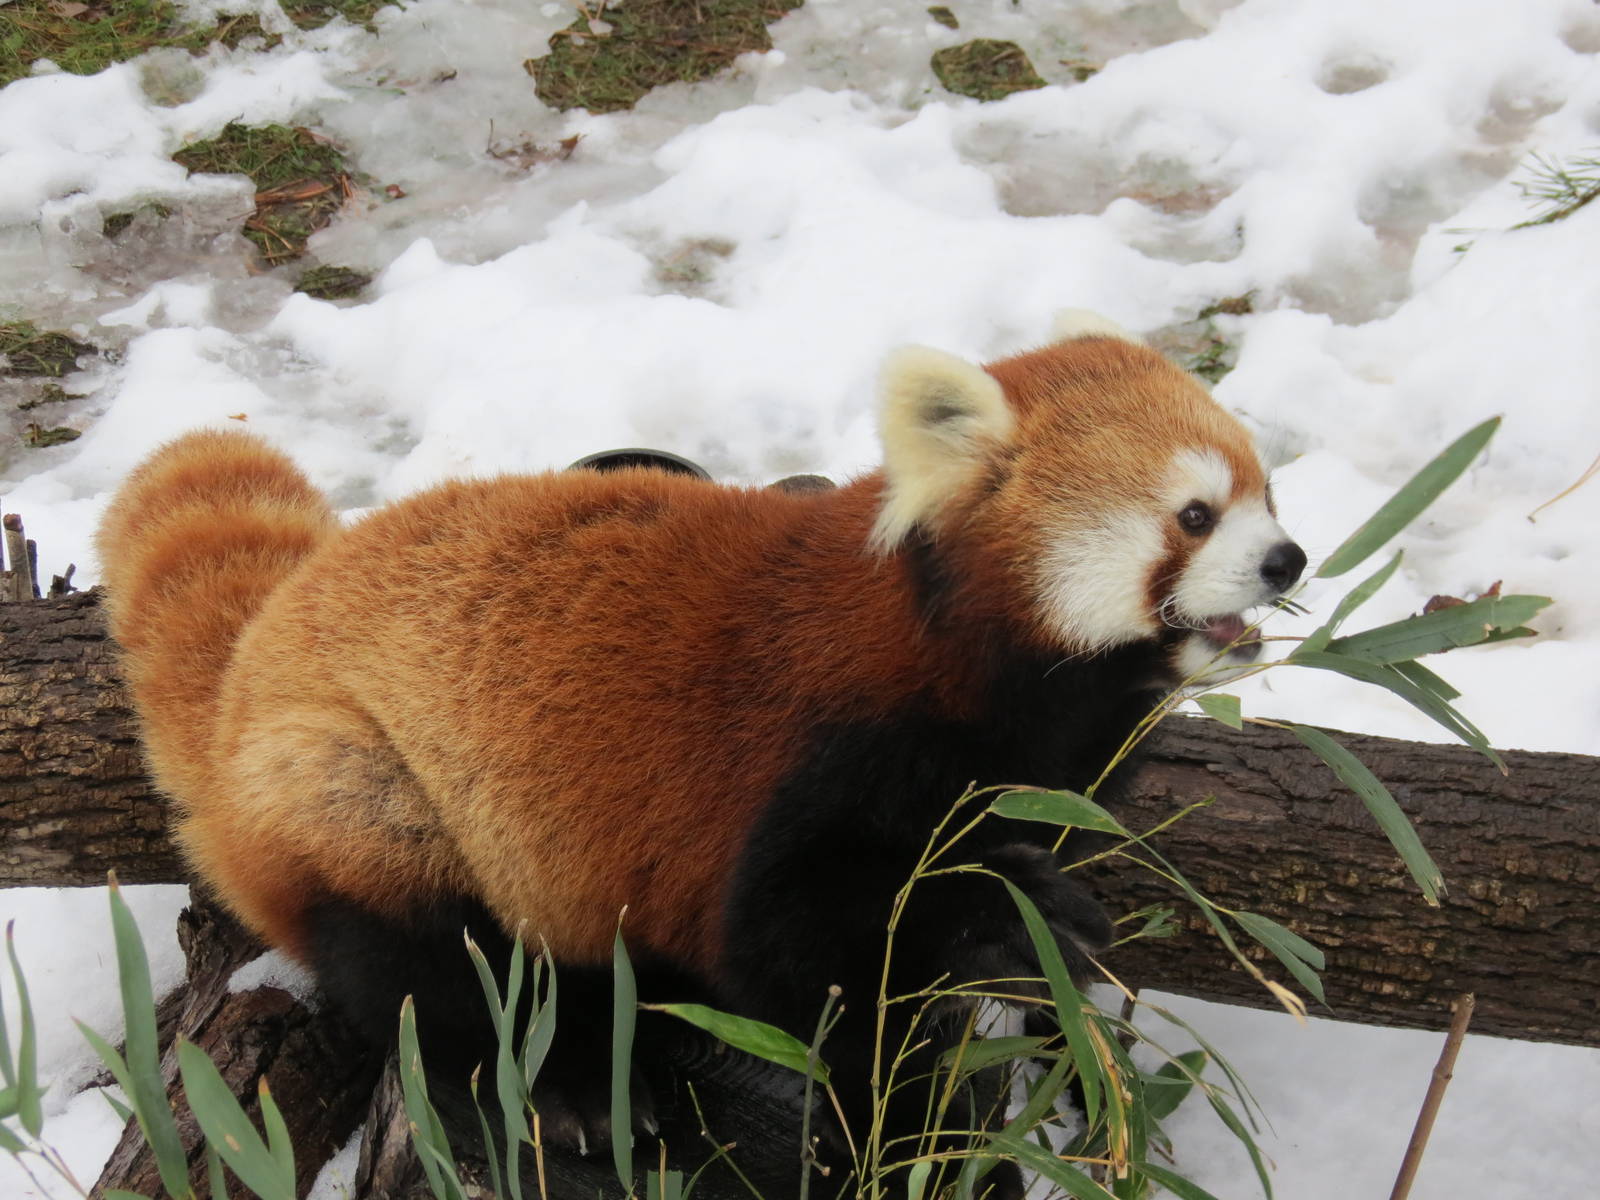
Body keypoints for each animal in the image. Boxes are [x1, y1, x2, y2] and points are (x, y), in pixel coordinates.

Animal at [96, 317, 1304, 1195]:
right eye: (1194, 516)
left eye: (1265, 492)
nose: (1288, 561)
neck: (985, 671)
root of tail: (261, 652)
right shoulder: (821, 753)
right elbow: (797, 946)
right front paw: (996, 929)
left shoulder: (1053, 769)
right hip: (359, 784)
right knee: (433, 967)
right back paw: (568, 1083)